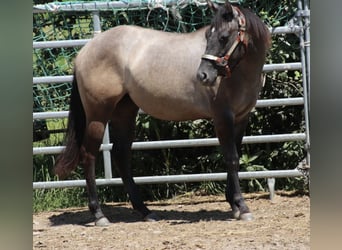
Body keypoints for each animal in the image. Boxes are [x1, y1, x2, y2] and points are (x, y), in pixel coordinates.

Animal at [54, 0, 272, 227]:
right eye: (208, 36)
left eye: (223, 37)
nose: (203, 75)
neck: (238, 74)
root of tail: (85, 51)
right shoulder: (222, 117)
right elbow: (231, 159)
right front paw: (242, 206)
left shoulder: (241, 118)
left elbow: (235, 157)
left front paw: (234, 205)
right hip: (98, 114)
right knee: (88, 156)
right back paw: (99, 215)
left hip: (125, 112)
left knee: (121, 155)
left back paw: (145, 211)